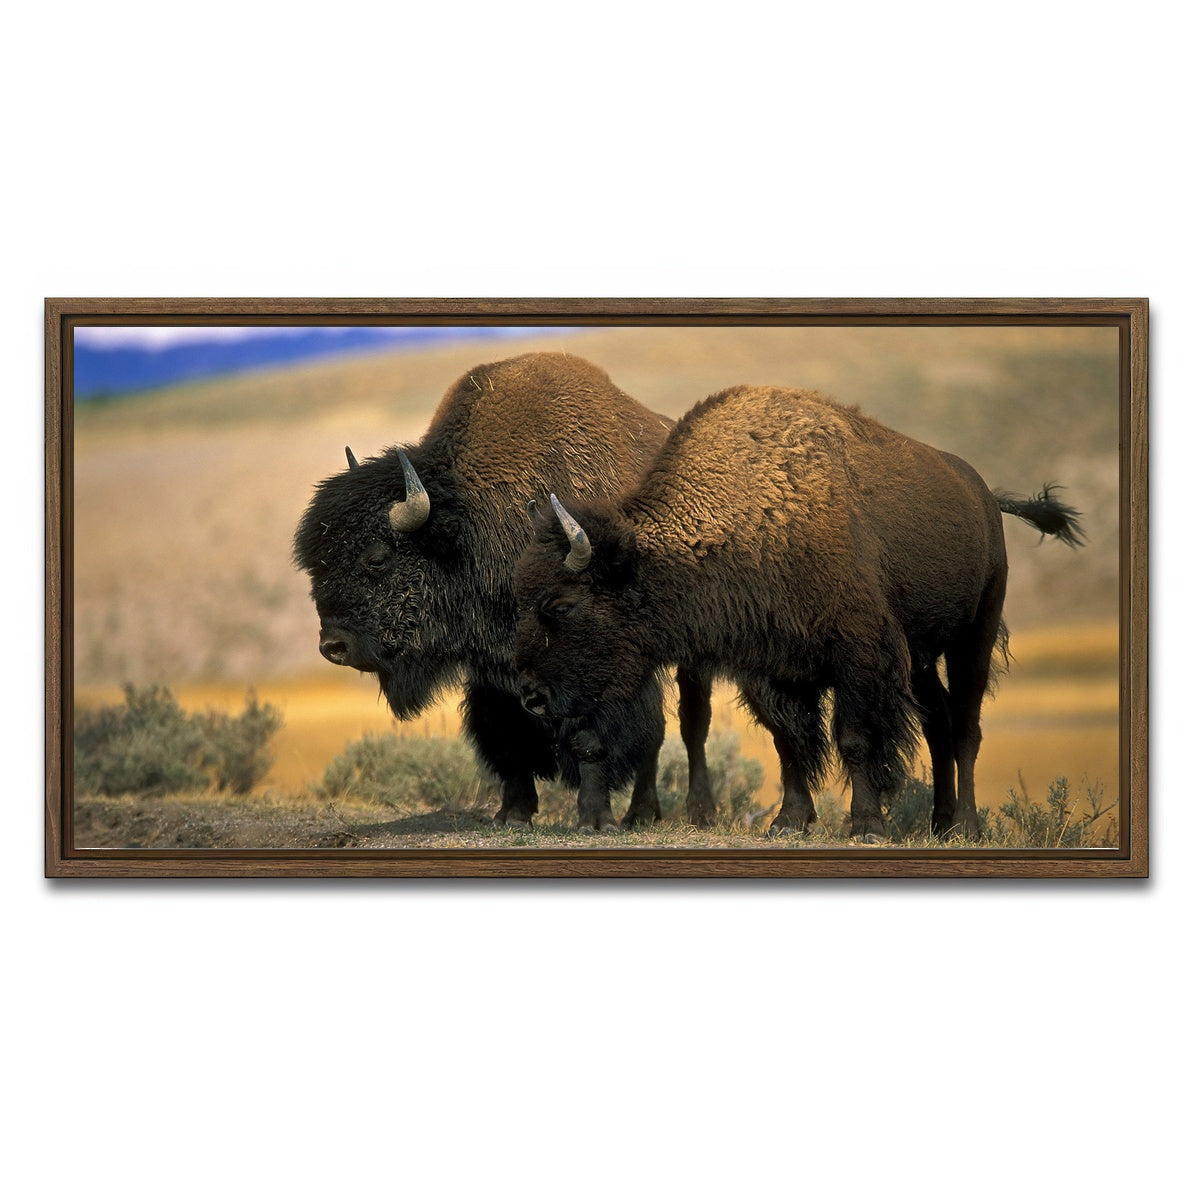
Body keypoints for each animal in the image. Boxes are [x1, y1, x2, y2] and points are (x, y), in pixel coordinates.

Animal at [293, 351, 689, 830]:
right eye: (317, 564)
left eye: (376, 558)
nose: (332, 646)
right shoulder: (493, 672)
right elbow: (508, 736)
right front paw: (512, 814)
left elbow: (591, 738)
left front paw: (595, 820)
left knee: (659, 733)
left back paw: (640, 815)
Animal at [513, 384, 1083, 840]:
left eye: (561, 605)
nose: (531, 696)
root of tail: (984, 494)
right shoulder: (774, 669)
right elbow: (789, 741)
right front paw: (788, 822)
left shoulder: (859, 656)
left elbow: (854, 739)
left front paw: (866, 826)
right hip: (921, 657)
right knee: (939, 722)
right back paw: (939, 825)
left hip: (973, 636)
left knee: (965, 725)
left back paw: (965, 824)